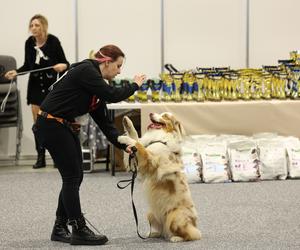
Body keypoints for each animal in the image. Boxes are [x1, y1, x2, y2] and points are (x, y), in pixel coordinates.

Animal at [118, 113, 202, 242]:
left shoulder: (150, 160)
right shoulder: (136, 161)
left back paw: (176, 238)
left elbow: (138, 145)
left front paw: (123, 139)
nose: (150, 113)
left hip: (175, 217)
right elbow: (136, 139)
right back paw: (153, 234)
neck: (161, 139)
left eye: (165, 116)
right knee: (162, 231)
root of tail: (194, 224)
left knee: (191, 234)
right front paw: (127, 123)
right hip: (150, 213)